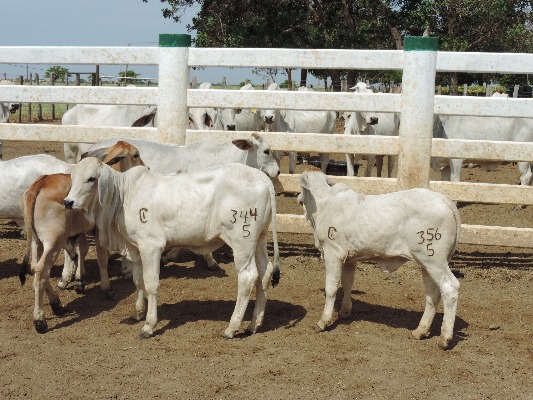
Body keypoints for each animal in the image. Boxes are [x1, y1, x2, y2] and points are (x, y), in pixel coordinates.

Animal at [19, 142, 144, 332]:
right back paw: (40, 319)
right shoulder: (100, 229)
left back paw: (57, 305)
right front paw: (107, 288)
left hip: (36, 241)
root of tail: (39, 184)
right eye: (136, 155)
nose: (146, 167)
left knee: (36, 268)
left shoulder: (82, 230)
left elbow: (82, 251)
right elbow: (101, 258)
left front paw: (79, 280)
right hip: (52, 243)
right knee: (41, 272)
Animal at [64, 158, 280, 340]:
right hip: (259, 239)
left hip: (242, 241)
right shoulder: (135, 249)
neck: (124, 194)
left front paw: (148, 325)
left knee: (247, 277)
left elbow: (151, 283)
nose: (68, 202)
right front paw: (138, 312)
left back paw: (232, 328)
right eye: (72, 177)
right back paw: (254, 325)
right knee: (265, 273)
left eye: (91, 178)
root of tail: (261, 177)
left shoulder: (151, 245)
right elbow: (137, 280)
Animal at [298, 167, 460, 348]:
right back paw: (420, 331)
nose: (298, 199)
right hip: (426, 263)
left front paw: (323, 321)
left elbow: (331, 288)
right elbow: (348, 283)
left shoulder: (333, 253)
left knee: (450, 288)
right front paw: (345, 311)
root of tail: (444, 200)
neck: (323, 204)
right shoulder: (350, 259)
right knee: (432, 293)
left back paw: (444, 338)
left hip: (434, 260)